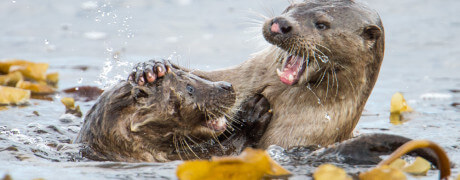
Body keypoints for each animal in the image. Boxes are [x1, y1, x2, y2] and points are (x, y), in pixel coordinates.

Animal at [133, 0, 384, 149]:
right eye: (289, 7)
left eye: (322, 24)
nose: (280, 23)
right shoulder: (235, 76)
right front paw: (150, 68)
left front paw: (252, 115)